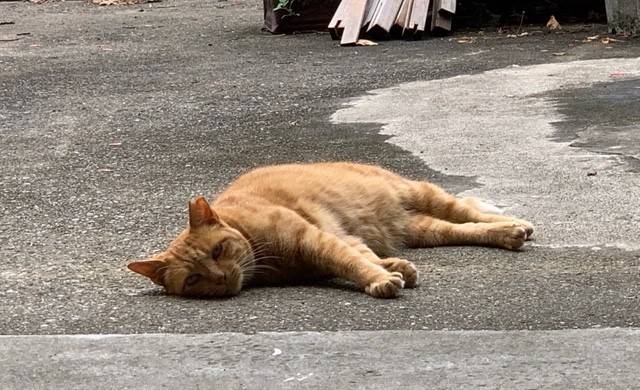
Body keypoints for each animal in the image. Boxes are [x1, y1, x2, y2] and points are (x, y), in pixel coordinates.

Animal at [127, 161, 532, 298]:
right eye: (193, 279)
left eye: (218, 251)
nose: (222, 278)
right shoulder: (336, 242)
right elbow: (363, 255)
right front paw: (394, 269)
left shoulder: (315, 241)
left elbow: (352, 262)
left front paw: (379, 280)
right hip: (423, 229)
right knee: (462, 228)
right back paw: (507, 234)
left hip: (422, 194)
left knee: (470, 212)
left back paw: (517, 226)